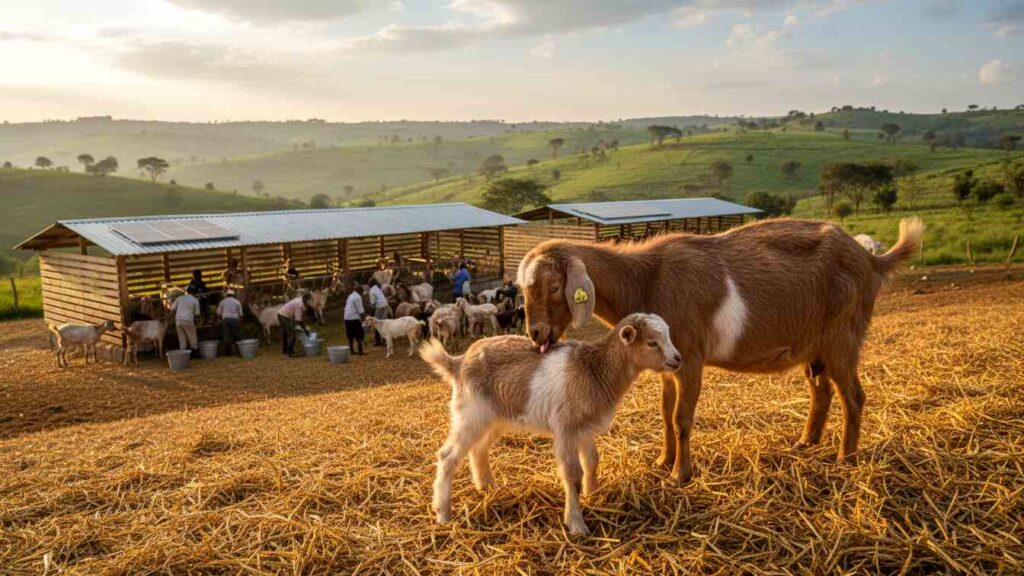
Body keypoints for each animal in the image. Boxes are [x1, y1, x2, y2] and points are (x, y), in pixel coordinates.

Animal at [421, 313, 681, 535]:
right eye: (652, 343)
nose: (677, 359)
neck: (595, 369)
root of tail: (458, 362)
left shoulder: (584, 428)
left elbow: (592, 461)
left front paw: (593, 494)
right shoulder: (565, 427)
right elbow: (572, 473)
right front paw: (576, 523)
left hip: (493, 417)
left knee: (478, 449)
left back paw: (488, 488)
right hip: (470, 414)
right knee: (448, 456)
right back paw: (443, 513)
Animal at [518, 217, 925, 484]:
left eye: (553, 286)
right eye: (522, 287)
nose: (535, 333)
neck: (646, 278)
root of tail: (870, 260)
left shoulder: (690, 357)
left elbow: (681, 418)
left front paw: (681, 475)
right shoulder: (667, 363)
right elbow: (665, 414)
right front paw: (663, 461)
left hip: (843, 337)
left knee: (853, 395)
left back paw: (845, 458)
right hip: (814, 344)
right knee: (820, 390)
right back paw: (806, 442)